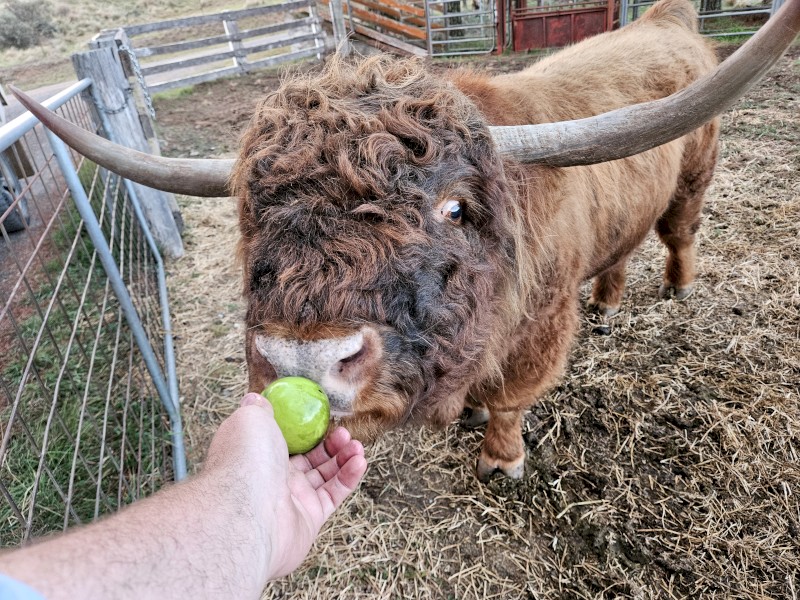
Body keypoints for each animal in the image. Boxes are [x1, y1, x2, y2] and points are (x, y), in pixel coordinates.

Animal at [14, 0, 800, 481]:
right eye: (252, 216)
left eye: (454, 208)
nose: (305, 358)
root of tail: (669, 22)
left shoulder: (542, 326)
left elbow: (511, 399)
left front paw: (499, 457)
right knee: (624, 245)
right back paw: (608, 301)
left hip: (694, 176)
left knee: (678, 232)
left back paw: (677, 288)